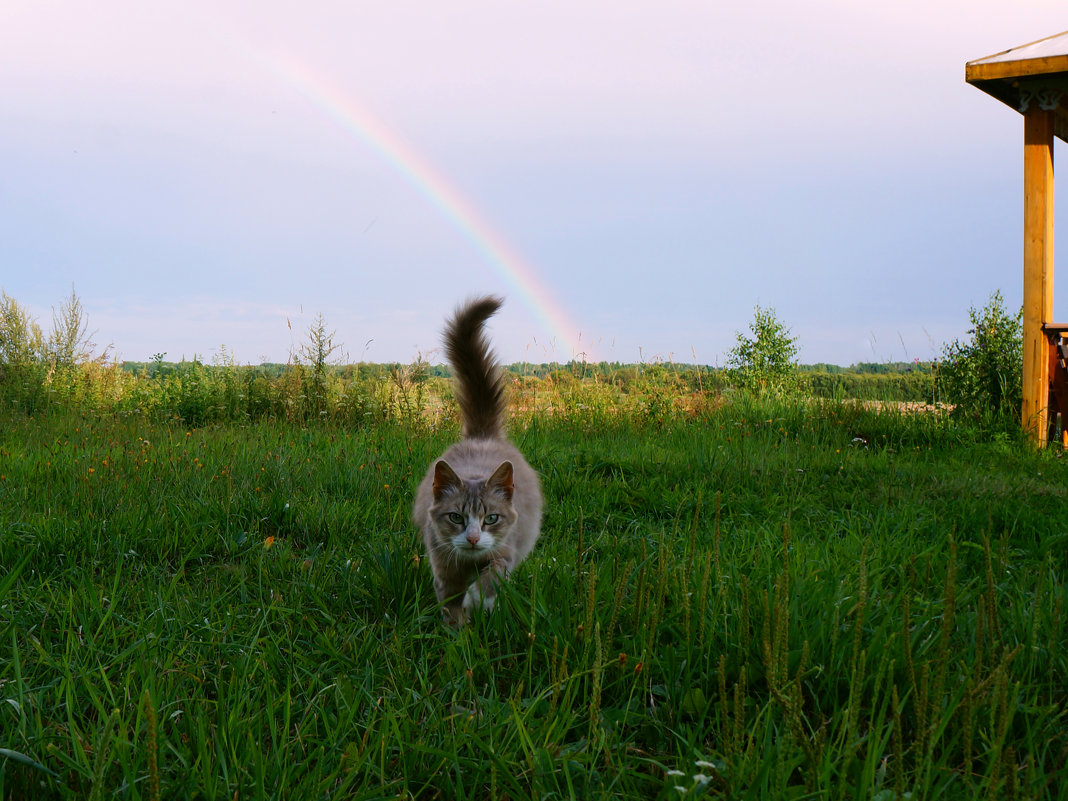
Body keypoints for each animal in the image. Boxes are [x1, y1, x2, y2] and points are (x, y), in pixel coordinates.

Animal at [407, 296, 542, 627]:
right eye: (456, 517)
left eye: (491, 518)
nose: (472, 538)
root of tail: (482, 436)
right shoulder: (443, 566)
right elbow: (450, 604)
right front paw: (458, 629)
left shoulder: (505, 553)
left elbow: (491, 579)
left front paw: (477, 601)